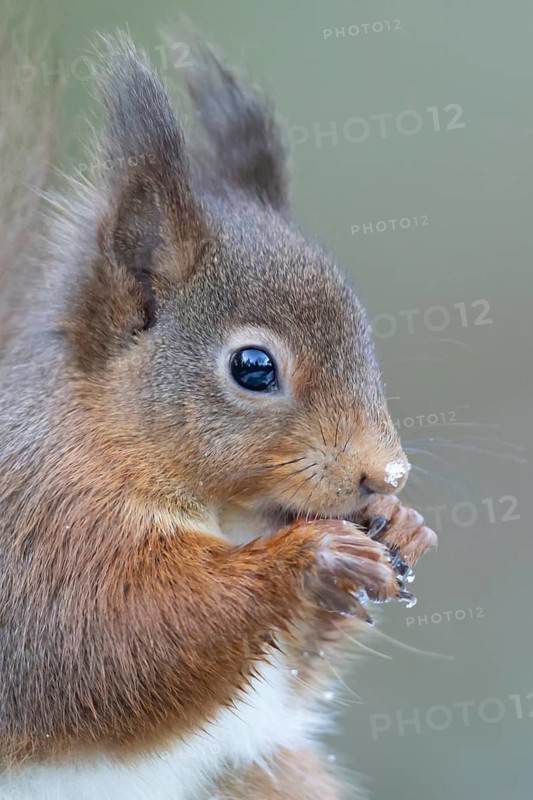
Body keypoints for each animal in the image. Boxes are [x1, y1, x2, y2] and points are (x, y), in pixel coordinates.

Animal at [0, 27, 437, 800]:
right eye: (253, 367)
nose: (384, 475)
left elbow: (286, 677)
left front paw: (401, 527)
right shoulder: (38, 534)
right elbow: (105, 639)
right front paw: (310, 556)